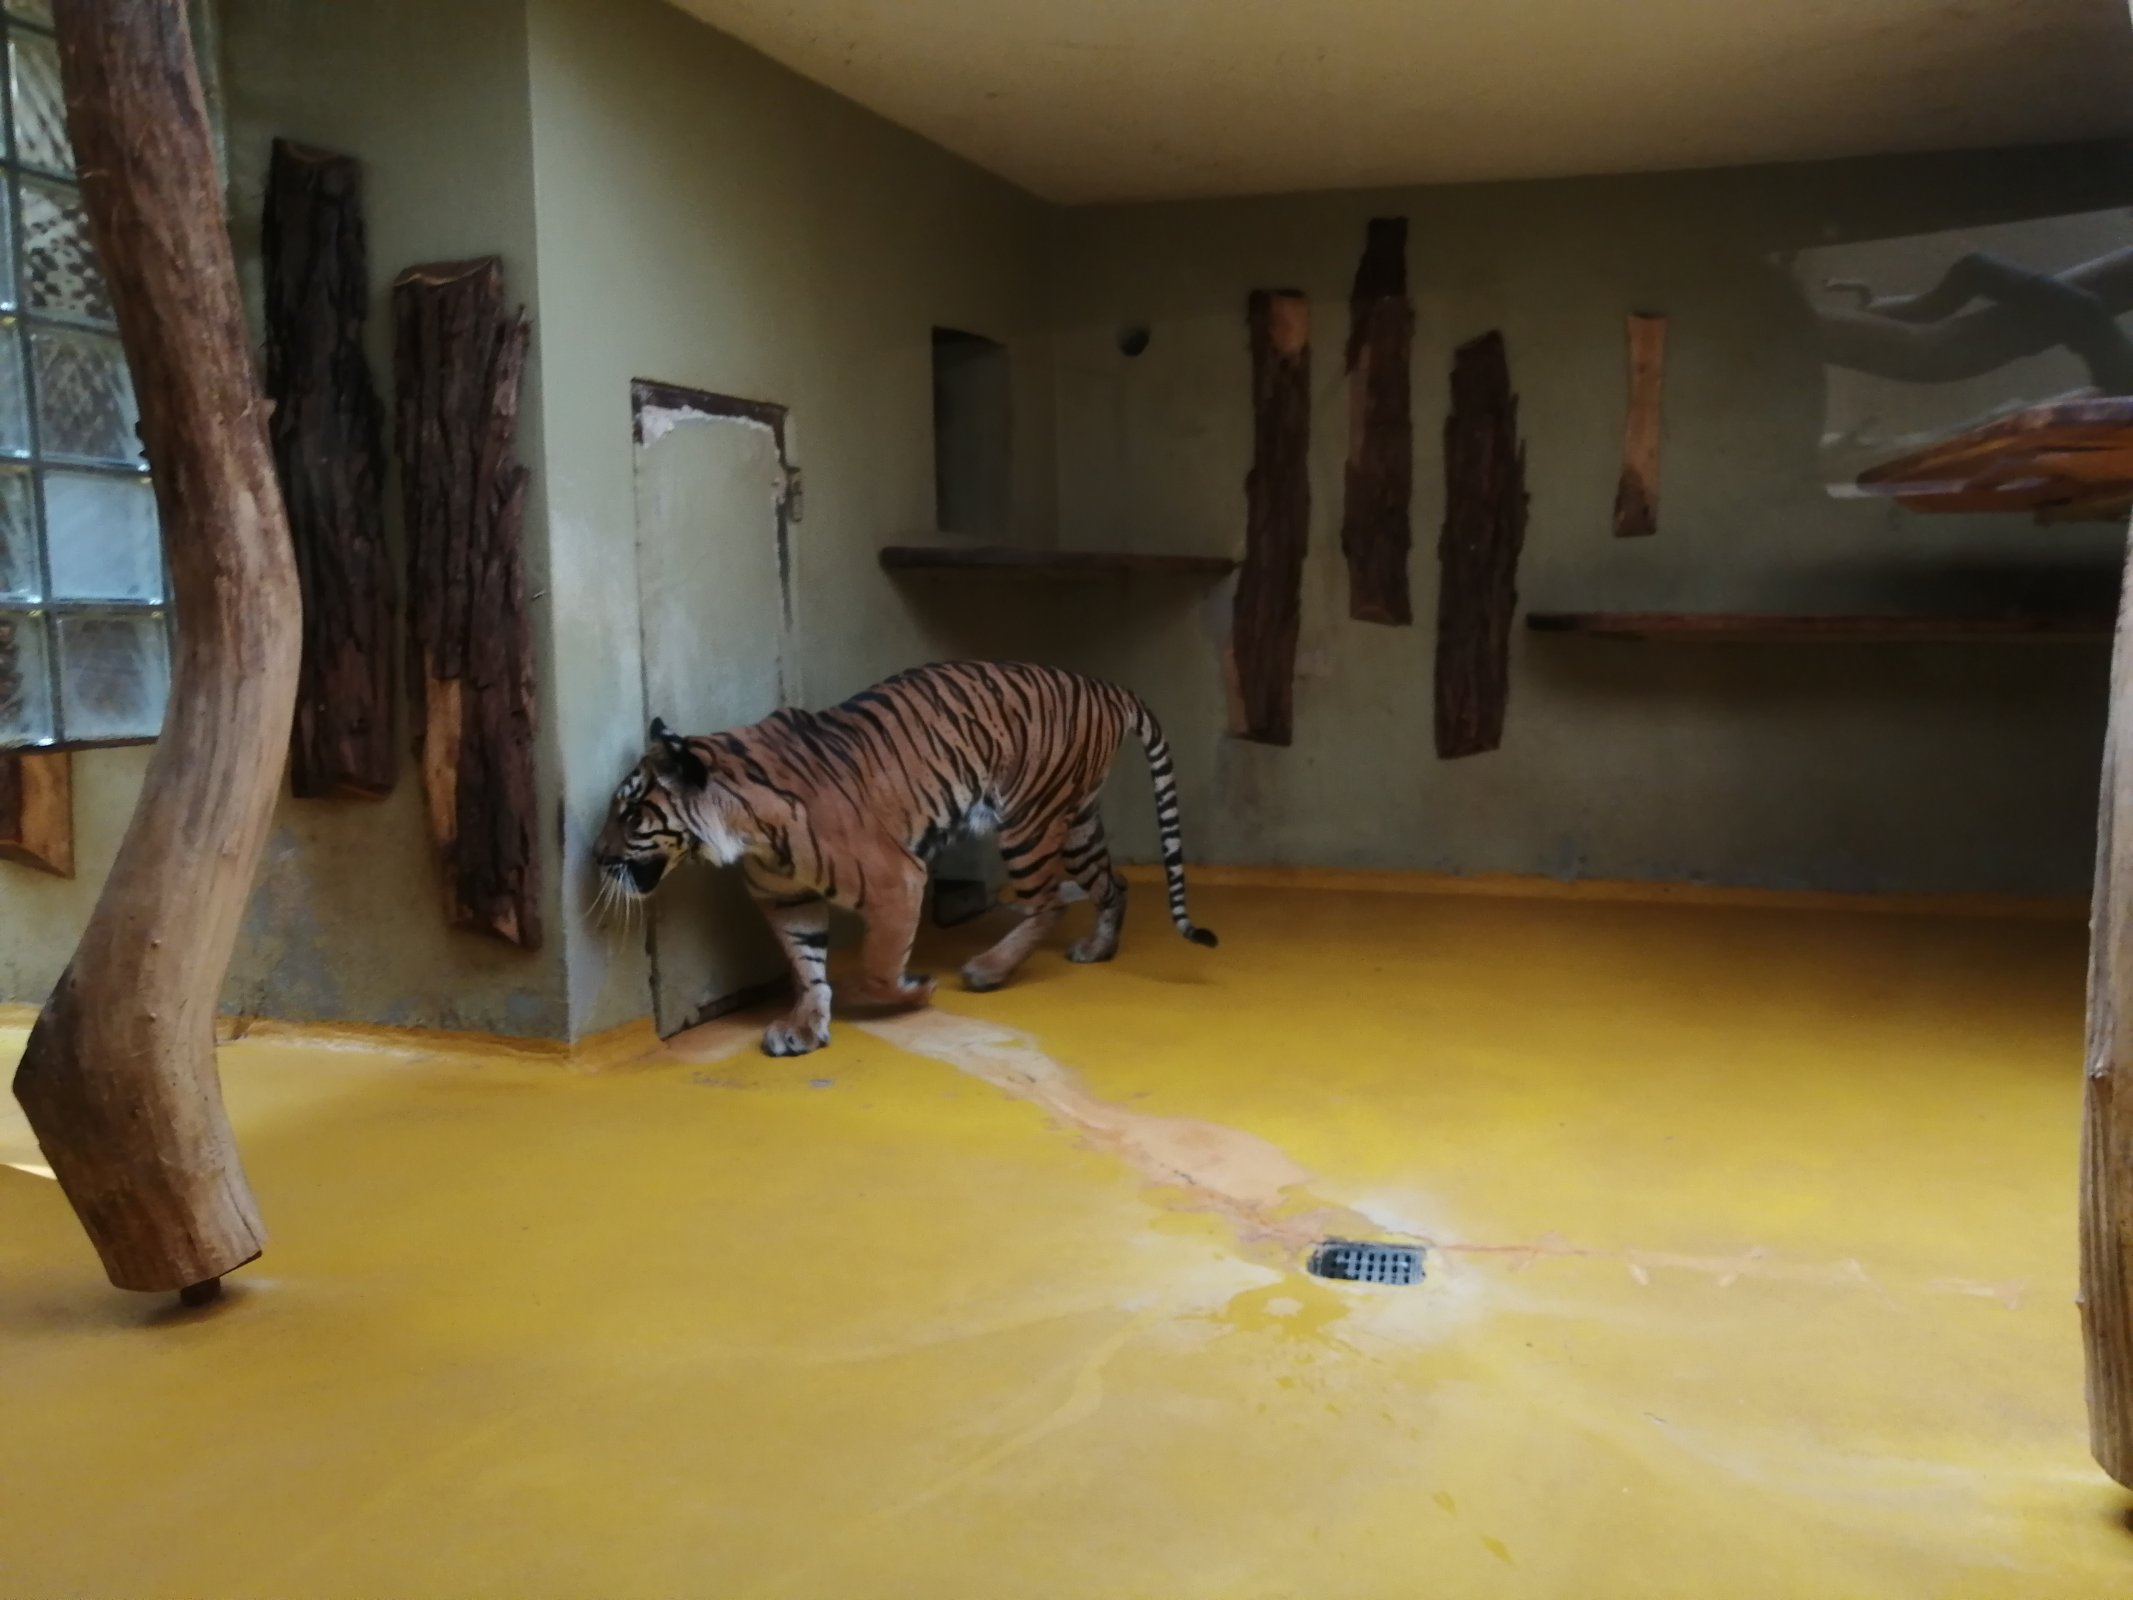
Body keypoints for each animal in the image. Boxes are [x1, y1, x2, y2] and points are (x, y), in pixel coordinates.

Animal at [594, 660, 1217, 1057]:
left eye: (630, 813)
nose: (597, 857)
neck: (744, 831)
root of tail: (1105, 686)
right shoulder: (788, 900)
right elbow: (807, 966)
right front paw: (806, 1027)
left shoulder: (899, 878)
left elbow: (875, 966)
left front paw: (917, 989)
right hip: (1077, 821)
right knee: (1113, 884)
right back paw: (1097, 948)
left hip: (1030, 821)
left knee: (1047, 903)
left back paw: (988, 970)